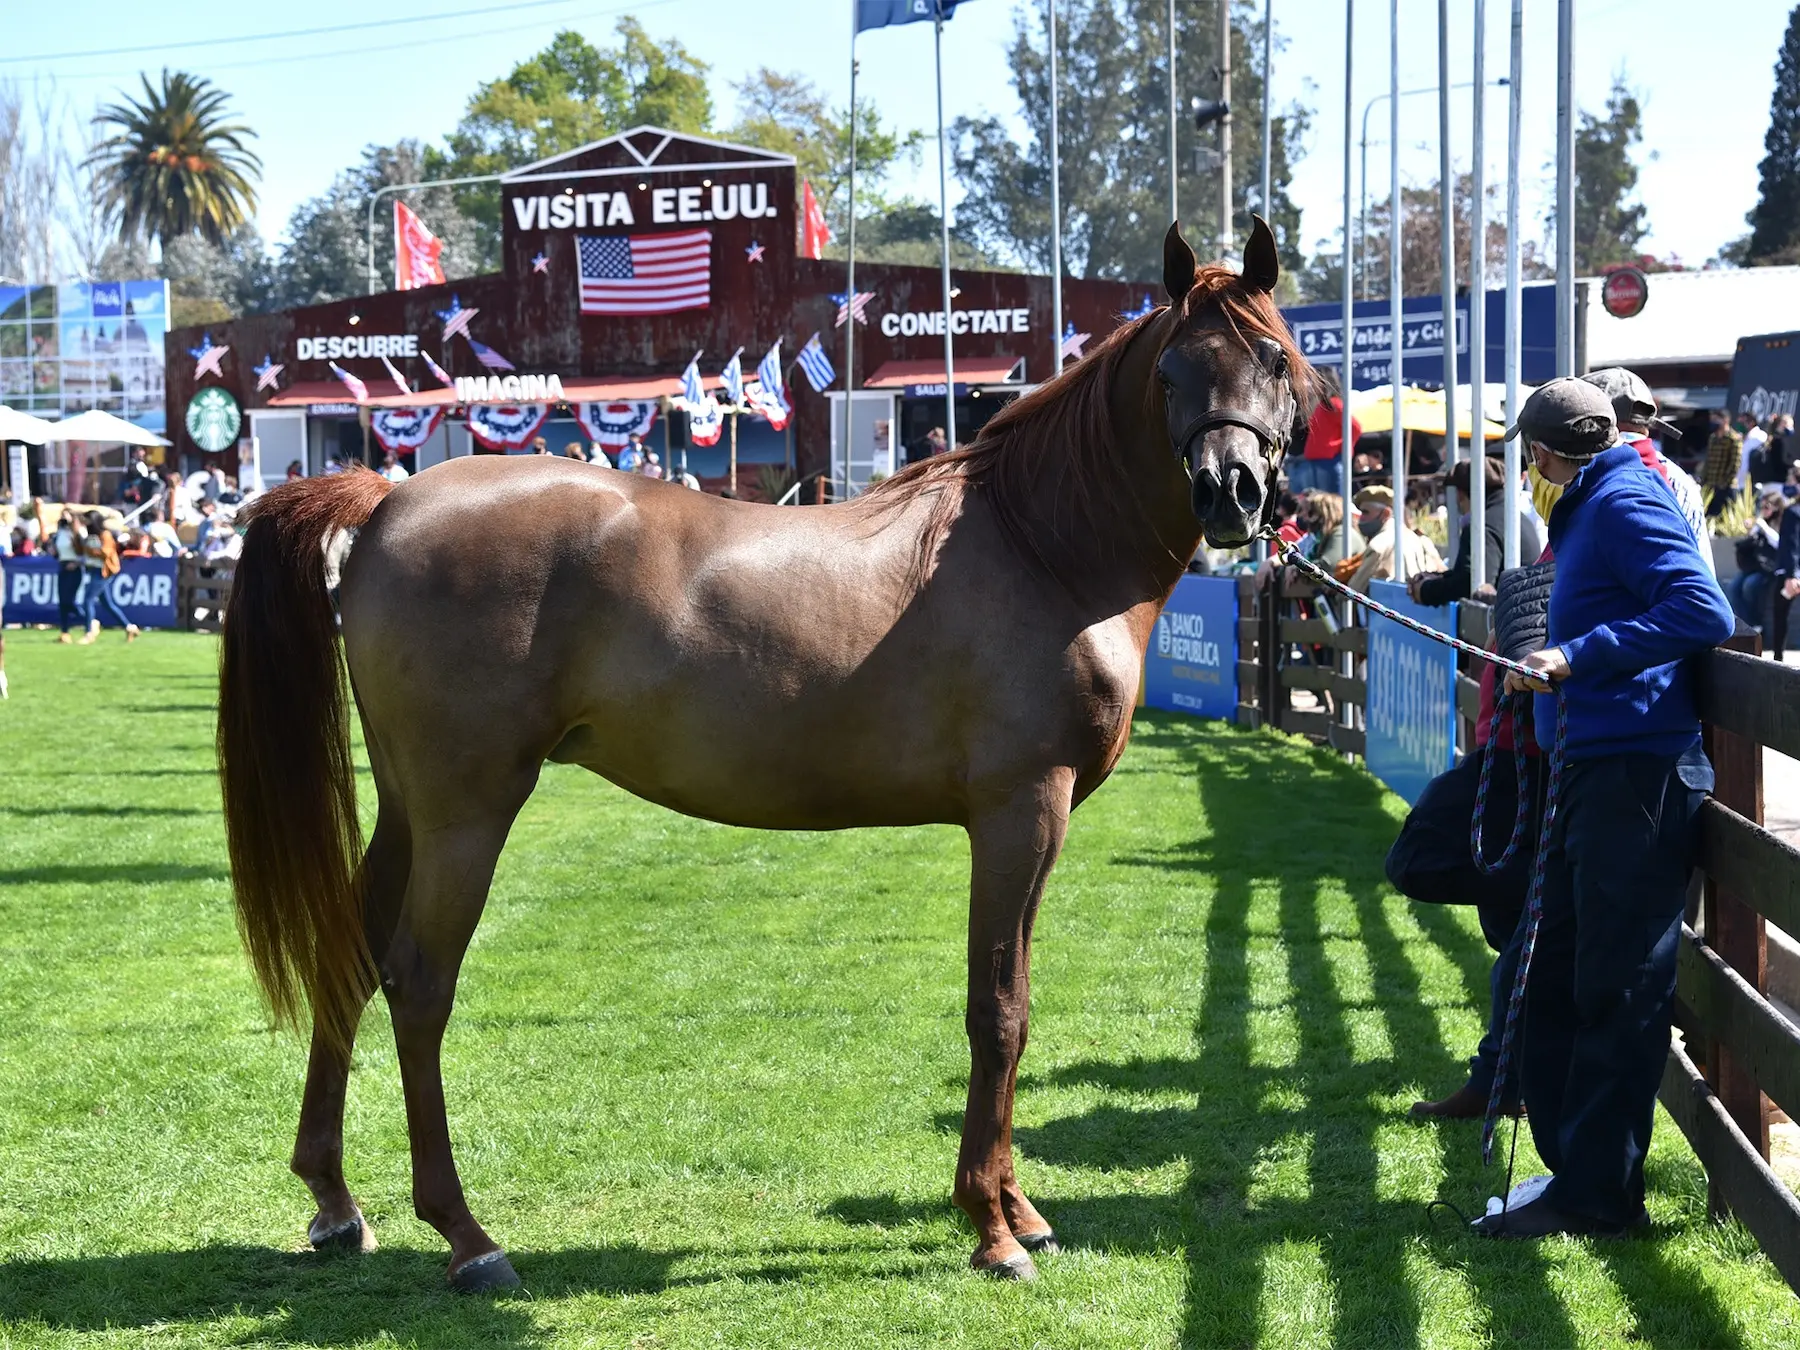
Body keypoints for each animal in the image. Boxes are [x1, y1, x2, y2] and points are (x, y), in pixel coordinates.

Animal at [217, 219, 1310, 1288]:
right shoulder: (1019, 811)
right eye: (1170, 371)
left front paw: (1022, 1213)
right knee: (419, 982)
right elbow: (998, 1009)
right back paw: (468, 1238)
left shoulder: (1032, 824)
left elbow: (1015, 1006)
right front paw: (993, 1231)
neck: (1039, 548)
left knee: (353, 954)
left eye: (1273, 359)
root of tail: (385, 501)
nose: (1232, 491)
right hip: (468, 811)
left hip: (411, 808)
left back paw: (335, 1202)